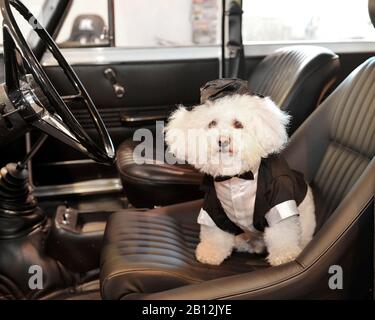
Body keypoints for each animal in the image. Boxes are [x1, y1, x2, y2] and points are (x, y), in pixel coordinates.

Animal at [166, 86, 316, 266]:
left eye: (238, 124)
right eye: (212, 124)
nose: (223, 140)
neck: (236, 177)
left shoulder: (279, 199)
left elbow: (282, 233)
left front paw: (284, 255)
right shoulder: (213, 207)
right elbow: (214, 234)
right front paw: (211, 252)